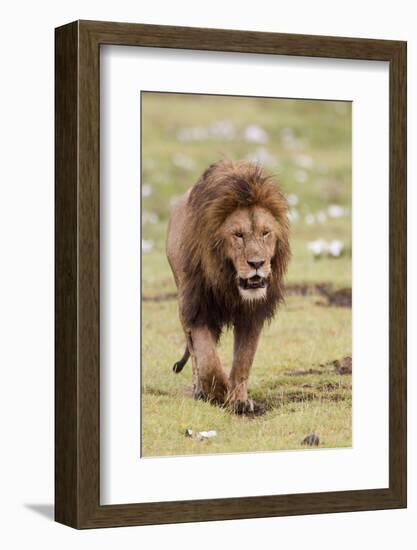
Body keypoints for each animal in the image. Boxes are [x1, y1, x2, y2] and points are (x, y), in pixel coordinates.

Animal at [166, 160, 290, 414]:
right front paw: (218, 391)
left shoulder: (252, 314)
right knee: (195, 355)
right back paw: (200, 390)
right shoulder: (197, 309)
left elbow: (244, 360)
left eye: (265, 233)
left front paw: (239, 400)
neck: (228, 282)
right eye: (238, 235)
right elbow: (207, 358)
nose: (257, 263)